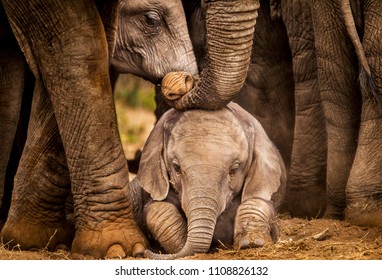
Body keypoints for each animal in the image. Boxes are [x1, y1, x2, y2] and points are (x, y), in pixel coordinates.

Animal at [130, 101, 286, 260]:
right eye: (176, 168)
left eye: (233, 170)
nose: (143, 253)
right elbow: (158, 209)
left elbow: (258, 202)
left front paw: (252, 243)